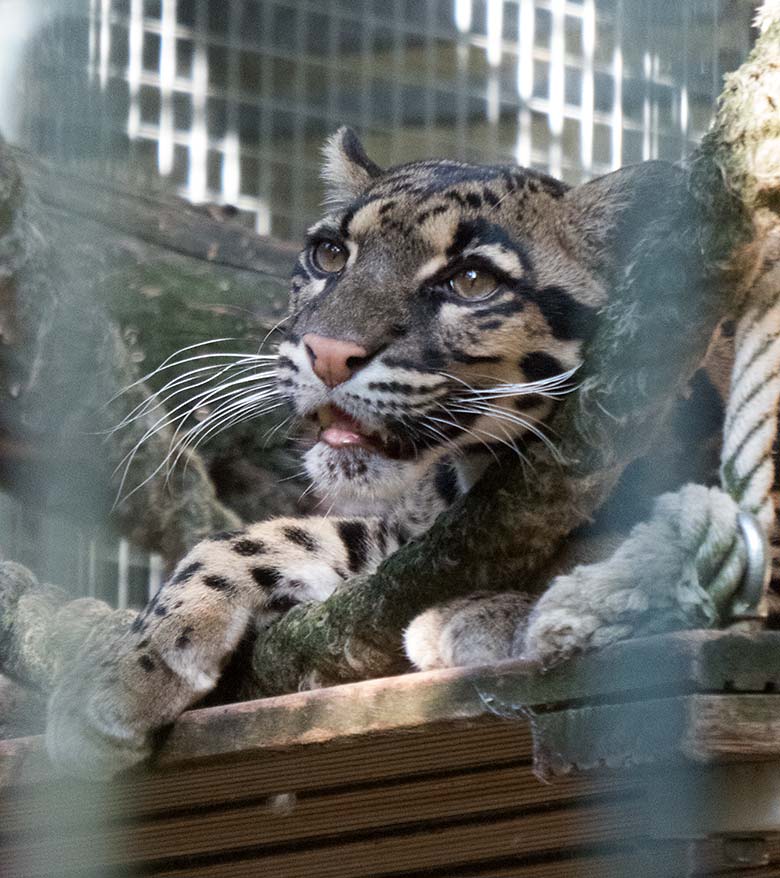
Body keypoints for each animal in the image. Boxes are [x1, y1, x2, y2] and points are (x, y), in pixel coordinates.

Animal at [44, 129, 724, 776]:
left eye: (472, 282)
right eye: (330, 255)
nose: (326, 353)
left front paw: (499, 615)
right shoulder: (405, 536)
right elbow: (256, 539)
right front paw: (131, 667)